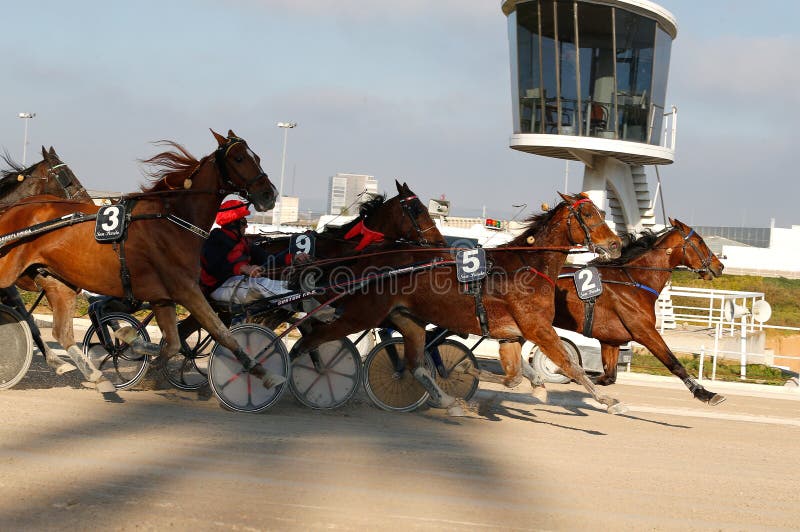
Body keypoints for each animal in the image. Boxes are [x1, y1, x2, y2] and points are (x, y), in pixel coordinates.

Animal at [290, 193, 620, 418]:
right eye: (588, 213)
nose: (616, 244)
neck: (526, 267)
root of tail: (371, 260)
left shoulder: (512, 335)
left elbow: (514, 377)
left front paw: (475, 372)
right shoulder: (538, 329)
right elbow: (571, 365)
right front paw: (608, 402)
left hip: (408, 320)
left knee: (415, 366)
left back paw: (451, 403)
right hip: (362, 313)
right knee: (308, 339)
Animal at [472, 218, 728, 406]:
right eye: (700, 241)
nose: (720, 266)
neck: (634, 281)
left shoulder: (610, 340)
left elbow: (608, 376)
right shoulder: (644, 331)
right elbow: (674, 363)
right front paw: (706, 394)